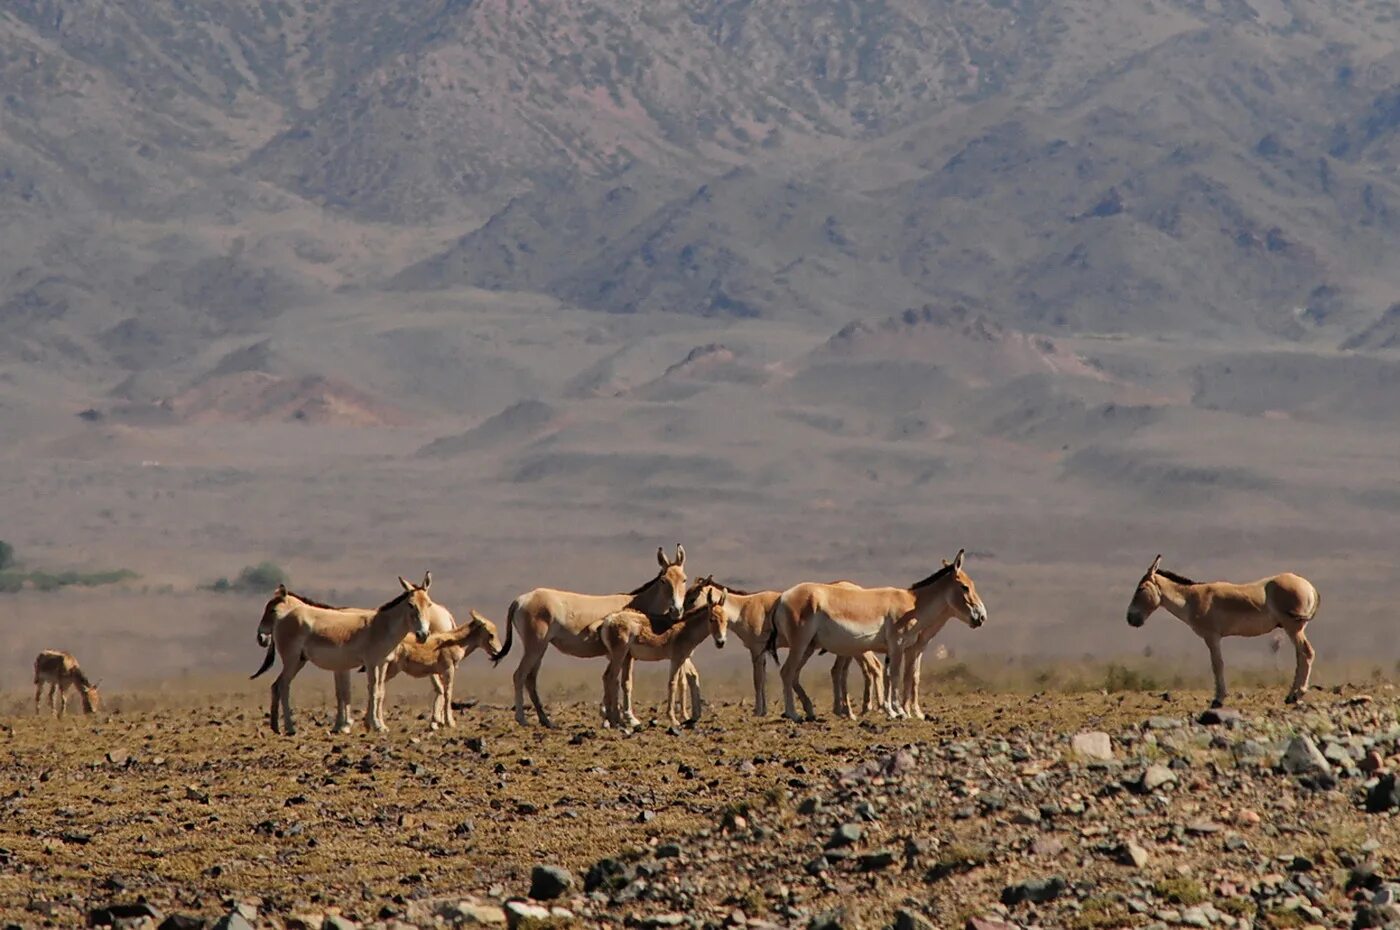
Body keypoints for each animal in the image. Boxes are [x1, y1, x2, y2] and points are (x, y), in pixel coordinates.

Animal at [252, 574, 434, 733]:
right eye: (410, 604)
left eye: (429, 604)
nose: (423, 635)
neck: (382, 625)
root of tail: (283, 619)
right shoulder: (371, 663)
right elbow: (371, 691)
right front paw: (374, 726)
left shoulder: (383, 663)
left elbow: (380, 692)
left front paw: (379, 725)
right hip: (291, 659)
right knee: (283, 685)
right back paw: (290, 728)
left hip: (299, 660)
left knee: (277, 685)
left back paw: (276, 727)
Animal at [495, 546, 691, 728]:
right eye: (664, 581)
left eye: (684, 579)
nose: (676, 610)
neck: (638, 603)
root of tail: (520, 600)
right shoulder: (627, 654)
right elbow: (625, 682)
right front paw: (629, 719)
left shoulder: (620, 654)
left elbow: (616, 681)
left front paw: (610, 716)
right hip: (534, 646)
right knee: (519, 675)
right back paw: (522, 719)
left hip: (540, 648)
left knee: (530, 679)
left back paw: (546, 721)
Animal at [602, 588, 733, 728]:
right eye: (711, 619)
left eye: (726, 620)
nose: (721, 642)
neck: (686, 629)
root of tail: (609, 620)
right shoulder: (676, 658)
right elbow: (672, 683)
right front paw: (673, 719)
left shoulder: (683, 658)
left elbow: (685, 681)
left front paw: (688, 716)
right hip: (619, 654)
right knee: (611, 678)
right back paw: (615, 721)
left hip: (623, 655)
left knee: (608, 677)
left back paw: (614, 719)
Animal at [772, 549, 991, 722]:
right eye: (965, 586)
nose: (982, 616)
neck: (913, 606)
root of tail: (783, 596)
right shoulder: (898, 645)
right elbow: (895, 675)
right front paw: (900, 712)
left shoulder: (902, 649)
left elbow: (896, 676)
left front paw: (894, 711)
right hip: (800, 644)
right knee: (787, 672)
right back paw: (793, 714)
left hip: (809, 647)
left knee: (796, 674)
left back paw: (810, 711)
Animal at [1125, 554, 1321, 708]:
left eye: (1140, 589)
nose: (1130, 619)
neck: (1191, 600)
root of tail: (1309, 586)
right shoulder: (1215, 637)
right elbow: (1219, 664)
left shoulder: (1211, 636)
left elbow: (1217, 664)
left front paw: (1218, 699)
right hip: (1294, 628)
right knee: (1300, 656)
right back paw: (1291, 696)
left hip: (1292, 626)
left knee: (1307, 652)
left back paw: (1298, 694)